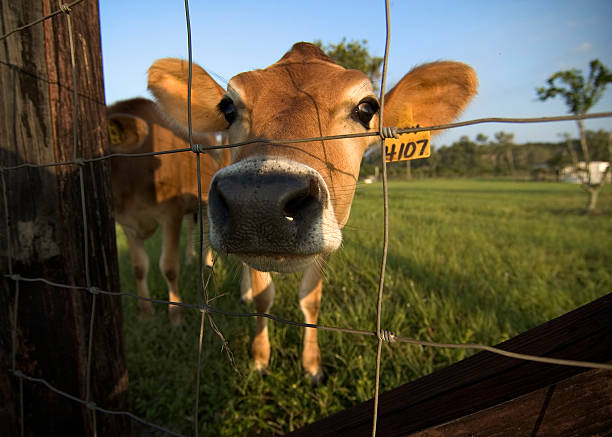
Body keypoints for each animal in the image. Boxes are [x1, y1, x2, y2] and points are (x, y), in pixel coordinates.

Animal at [107, 98, 230, 324]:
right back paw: (191, 258)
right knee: (191, 226)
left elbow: (169, 267)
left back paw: (207, 264)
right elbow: (139, 267)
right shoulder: (126, 222)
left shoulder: (171, 212)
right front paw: (145, 311)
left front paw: (176, 314)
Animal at [147, 42, 478, 380]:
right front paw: (260, 357)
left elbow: (311, 299)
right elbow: (264, 297)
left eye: (367, 109)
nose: (258, 200)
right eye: (228, 109)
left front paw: (312, 364)